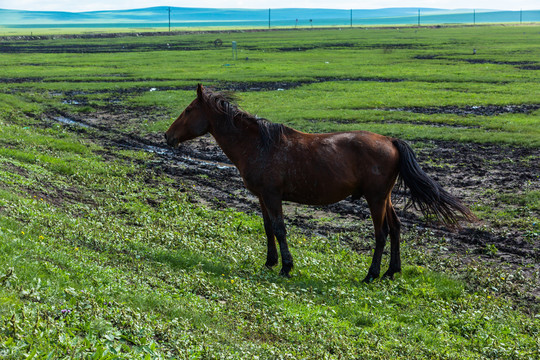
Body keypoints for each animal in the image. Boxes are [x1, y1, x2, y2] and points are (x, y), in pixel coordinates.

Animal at [165, 84, 476, 282]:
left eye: (188, 110)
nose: (167, 136)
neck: (258, 145)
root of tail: (390, 141)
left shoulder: (273, 196)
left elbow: (280, 229)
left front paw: (286, 267)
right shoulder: (262, 196)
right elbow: (268, 229)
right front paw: (270, 262)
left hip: (375, 198)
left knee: (382, 233)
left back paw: (371, 275)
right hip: (384, 197)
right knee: (397, 228)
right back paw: (391, 272)